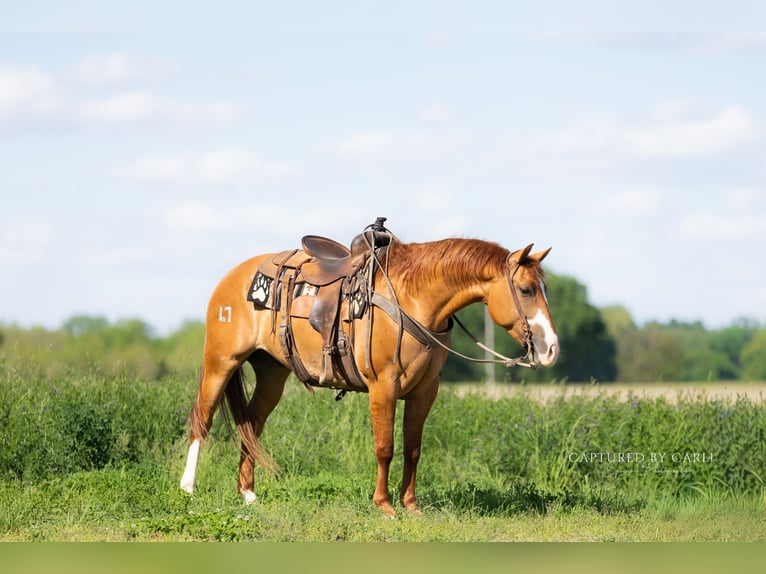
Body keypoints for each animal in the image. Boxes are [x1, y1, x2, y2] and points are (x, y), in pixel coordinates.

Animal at [179, 220, 559, 516]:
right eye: (525, 289)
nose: (551, 348)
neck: (412, 298)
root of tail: (233, 277)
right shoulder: (383, 386)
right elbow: (384, 447)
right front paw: (384, 505)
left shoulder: (425, 391)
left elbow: (413, 448)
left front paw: (411, 505)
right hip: (220, 362)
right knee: (203, 419)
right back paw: (188, 488)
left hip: (272, 373)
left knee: (251, 426)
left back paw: (248, 493)